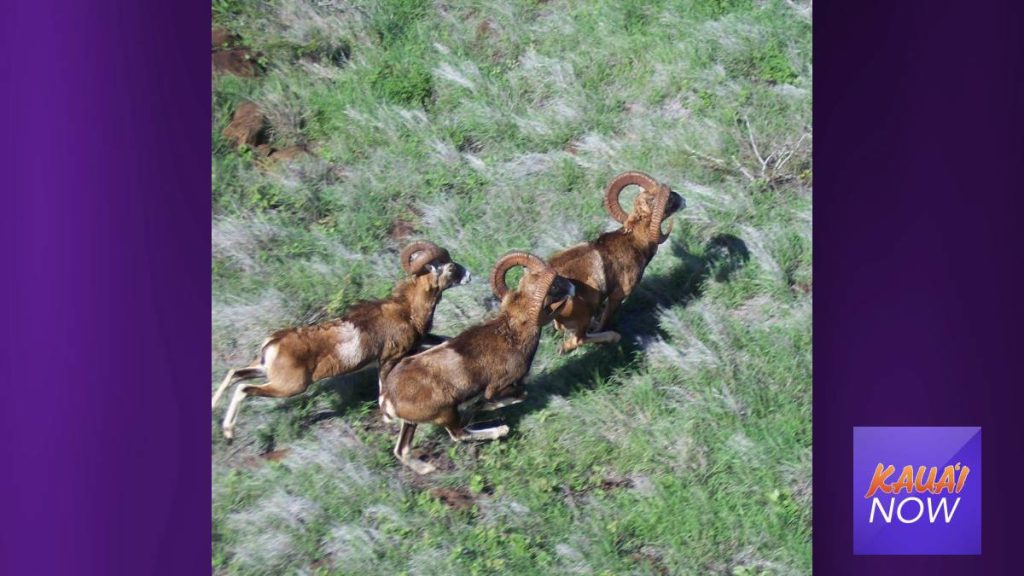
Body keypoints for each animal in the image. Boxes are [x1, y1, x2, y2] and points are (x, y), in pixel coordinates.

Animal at [211, 241, 470, 440]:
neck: (407, 310)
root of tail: (273, 344)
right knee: (243, 388)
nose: (468, 275)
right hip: (288, 387)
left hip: (262, 371)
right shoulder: (389, 359)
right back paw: (228, 431)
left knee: (234, 374)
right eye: (449, 268)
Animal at [379, 251, 575, 474]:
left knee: (402, 450)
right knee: (459, 433)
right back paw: (500, 430)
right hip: (446, 413)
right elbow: (515, 396)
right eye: (554, 286)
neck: (513, 336)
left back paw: (426, 469)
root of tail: (388, 397)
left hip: (411, 423)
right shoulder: (499, 387)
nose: (572, 287)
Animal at [547, 171, 685, 354]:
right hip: (585, 314)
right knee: (578, 340)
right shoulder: (617, 297)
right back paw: (612, 337)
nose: (683, 200)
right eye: (668, 199)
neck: (634, 242)